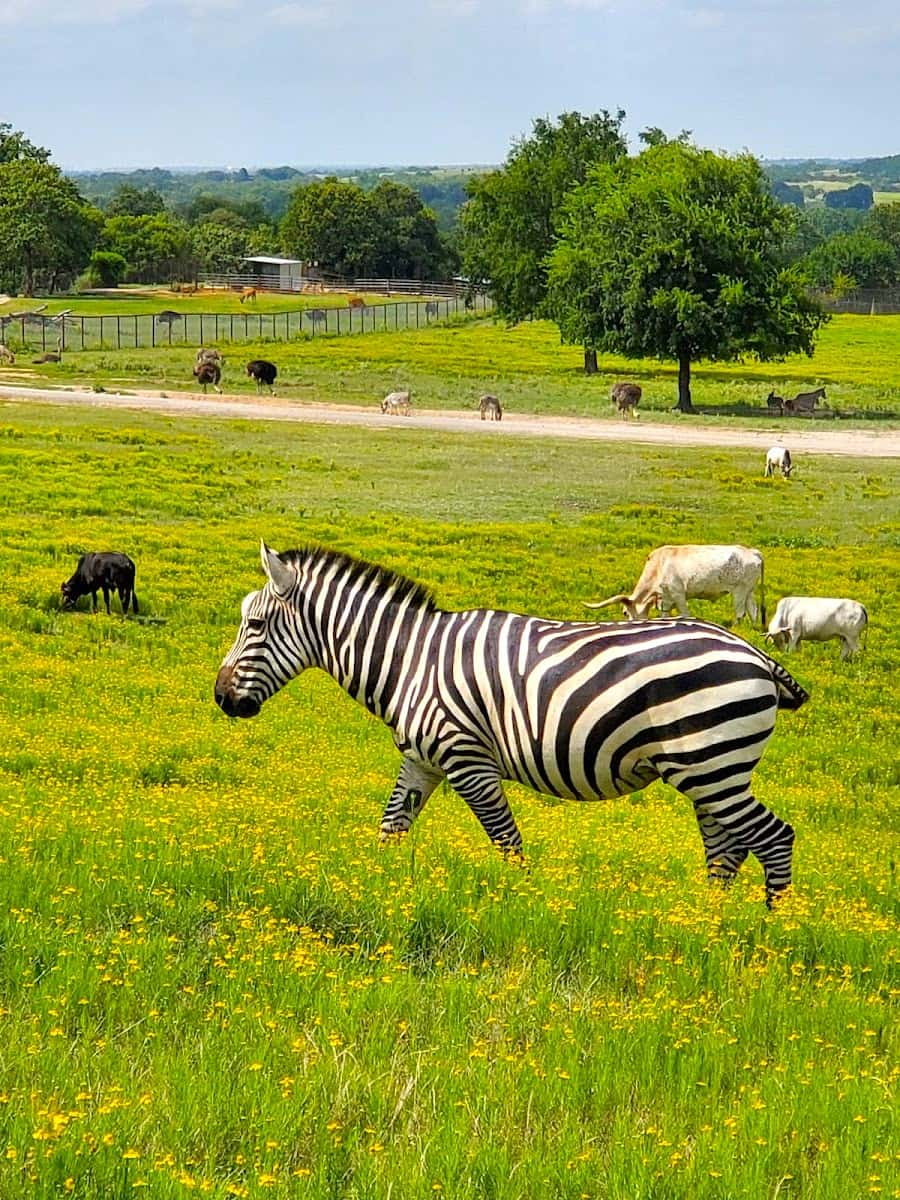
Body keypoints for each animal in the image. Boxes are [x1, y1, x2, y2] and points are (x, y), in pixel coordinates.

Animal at [588, 544, 772, 628]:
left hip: (739, 591)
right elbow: (665, 615)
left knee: (740, 613)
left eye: (625, 612)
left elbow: (685, 614)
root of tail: (752, 551)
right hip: (749, 591)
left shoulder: (678, 595)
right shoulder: (666, 598)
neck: (658, 566)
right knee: (753, 611)